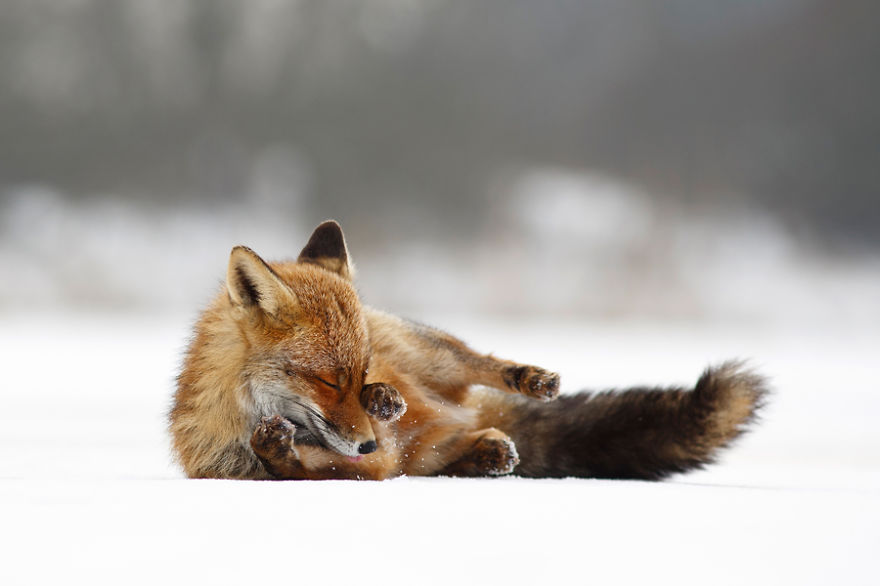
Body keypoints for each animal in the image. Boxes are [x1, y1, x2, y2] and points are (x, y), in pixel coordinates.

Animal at [169, 220, 768, 480]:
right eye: (328, 381)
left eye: (356, 374)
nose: (367, 440)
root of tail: (463, 415)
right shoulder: (362, 469)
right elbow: (295, 468)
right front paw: (276, 447)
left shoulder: (371, 456)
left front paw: (380, 399)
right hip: (431, 453)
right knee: (478, 442)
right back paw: (487, 450)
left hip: (429, 352)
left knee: (477, 363)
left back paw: (526, 380)